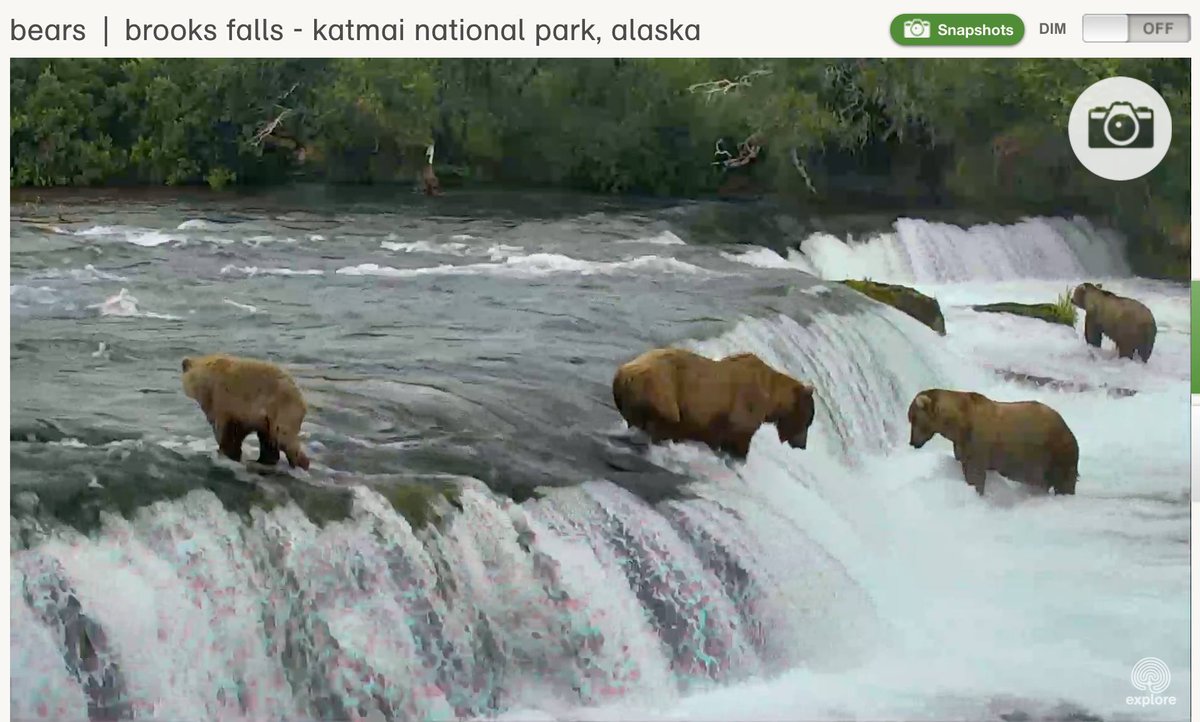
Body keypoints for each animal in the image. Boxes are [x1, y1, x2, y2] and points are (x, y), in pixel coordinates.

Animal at [181, 353, 311, 470]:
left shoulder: (225, 401)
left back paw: (300, 463)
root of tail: (302, 399)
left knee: (284, 437)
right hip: (270, 419)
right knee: (269, 440)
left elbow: (226, 431)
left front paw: (225, 453)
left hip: (283, 409)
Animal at [611, 347, 816, 460]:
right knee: (666, 420)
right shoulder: (744, 408)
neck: (772, 399)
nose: (803, 445)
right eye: (809, 420)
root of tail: (624, 374)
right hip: (662, 390)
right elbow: (738, 441)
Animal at [906, 388, 1078, 496]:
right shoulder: (962, 444)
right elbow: (965, 465)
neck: (959, 423)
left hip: (1055, 451)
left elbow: (975, 474)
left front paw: (977, 492)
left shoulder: (978, 442)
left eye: (913, 419)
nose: (912, 442)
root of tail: (1067, 426)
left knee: (1063, 480)